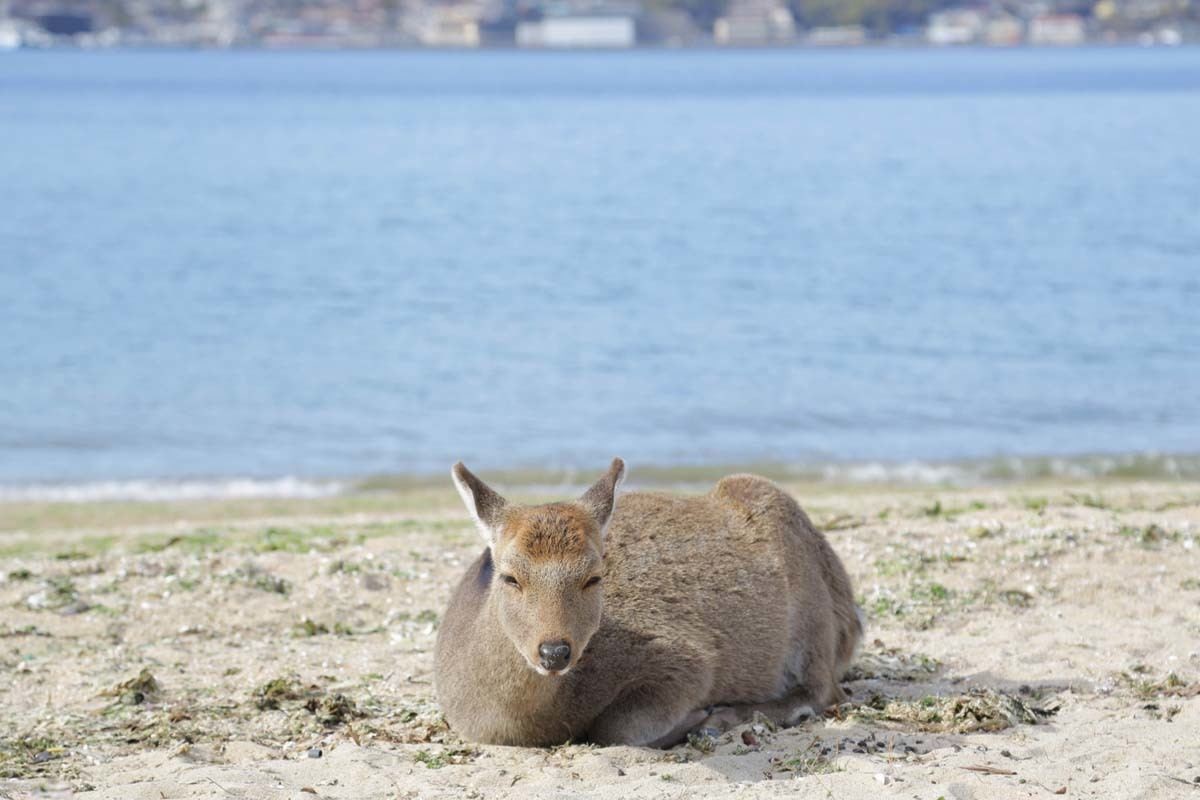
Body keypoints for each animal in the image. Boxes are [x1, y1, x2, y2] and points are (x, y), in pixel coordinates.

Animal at [432, 460, 864, 748]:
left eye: (594, 576)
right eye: (509, 576)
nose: (554, 651)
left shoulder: (688, 658)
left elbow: (616, 729)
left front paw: (698, 718)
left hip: (814, 618)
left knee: (825, 690)